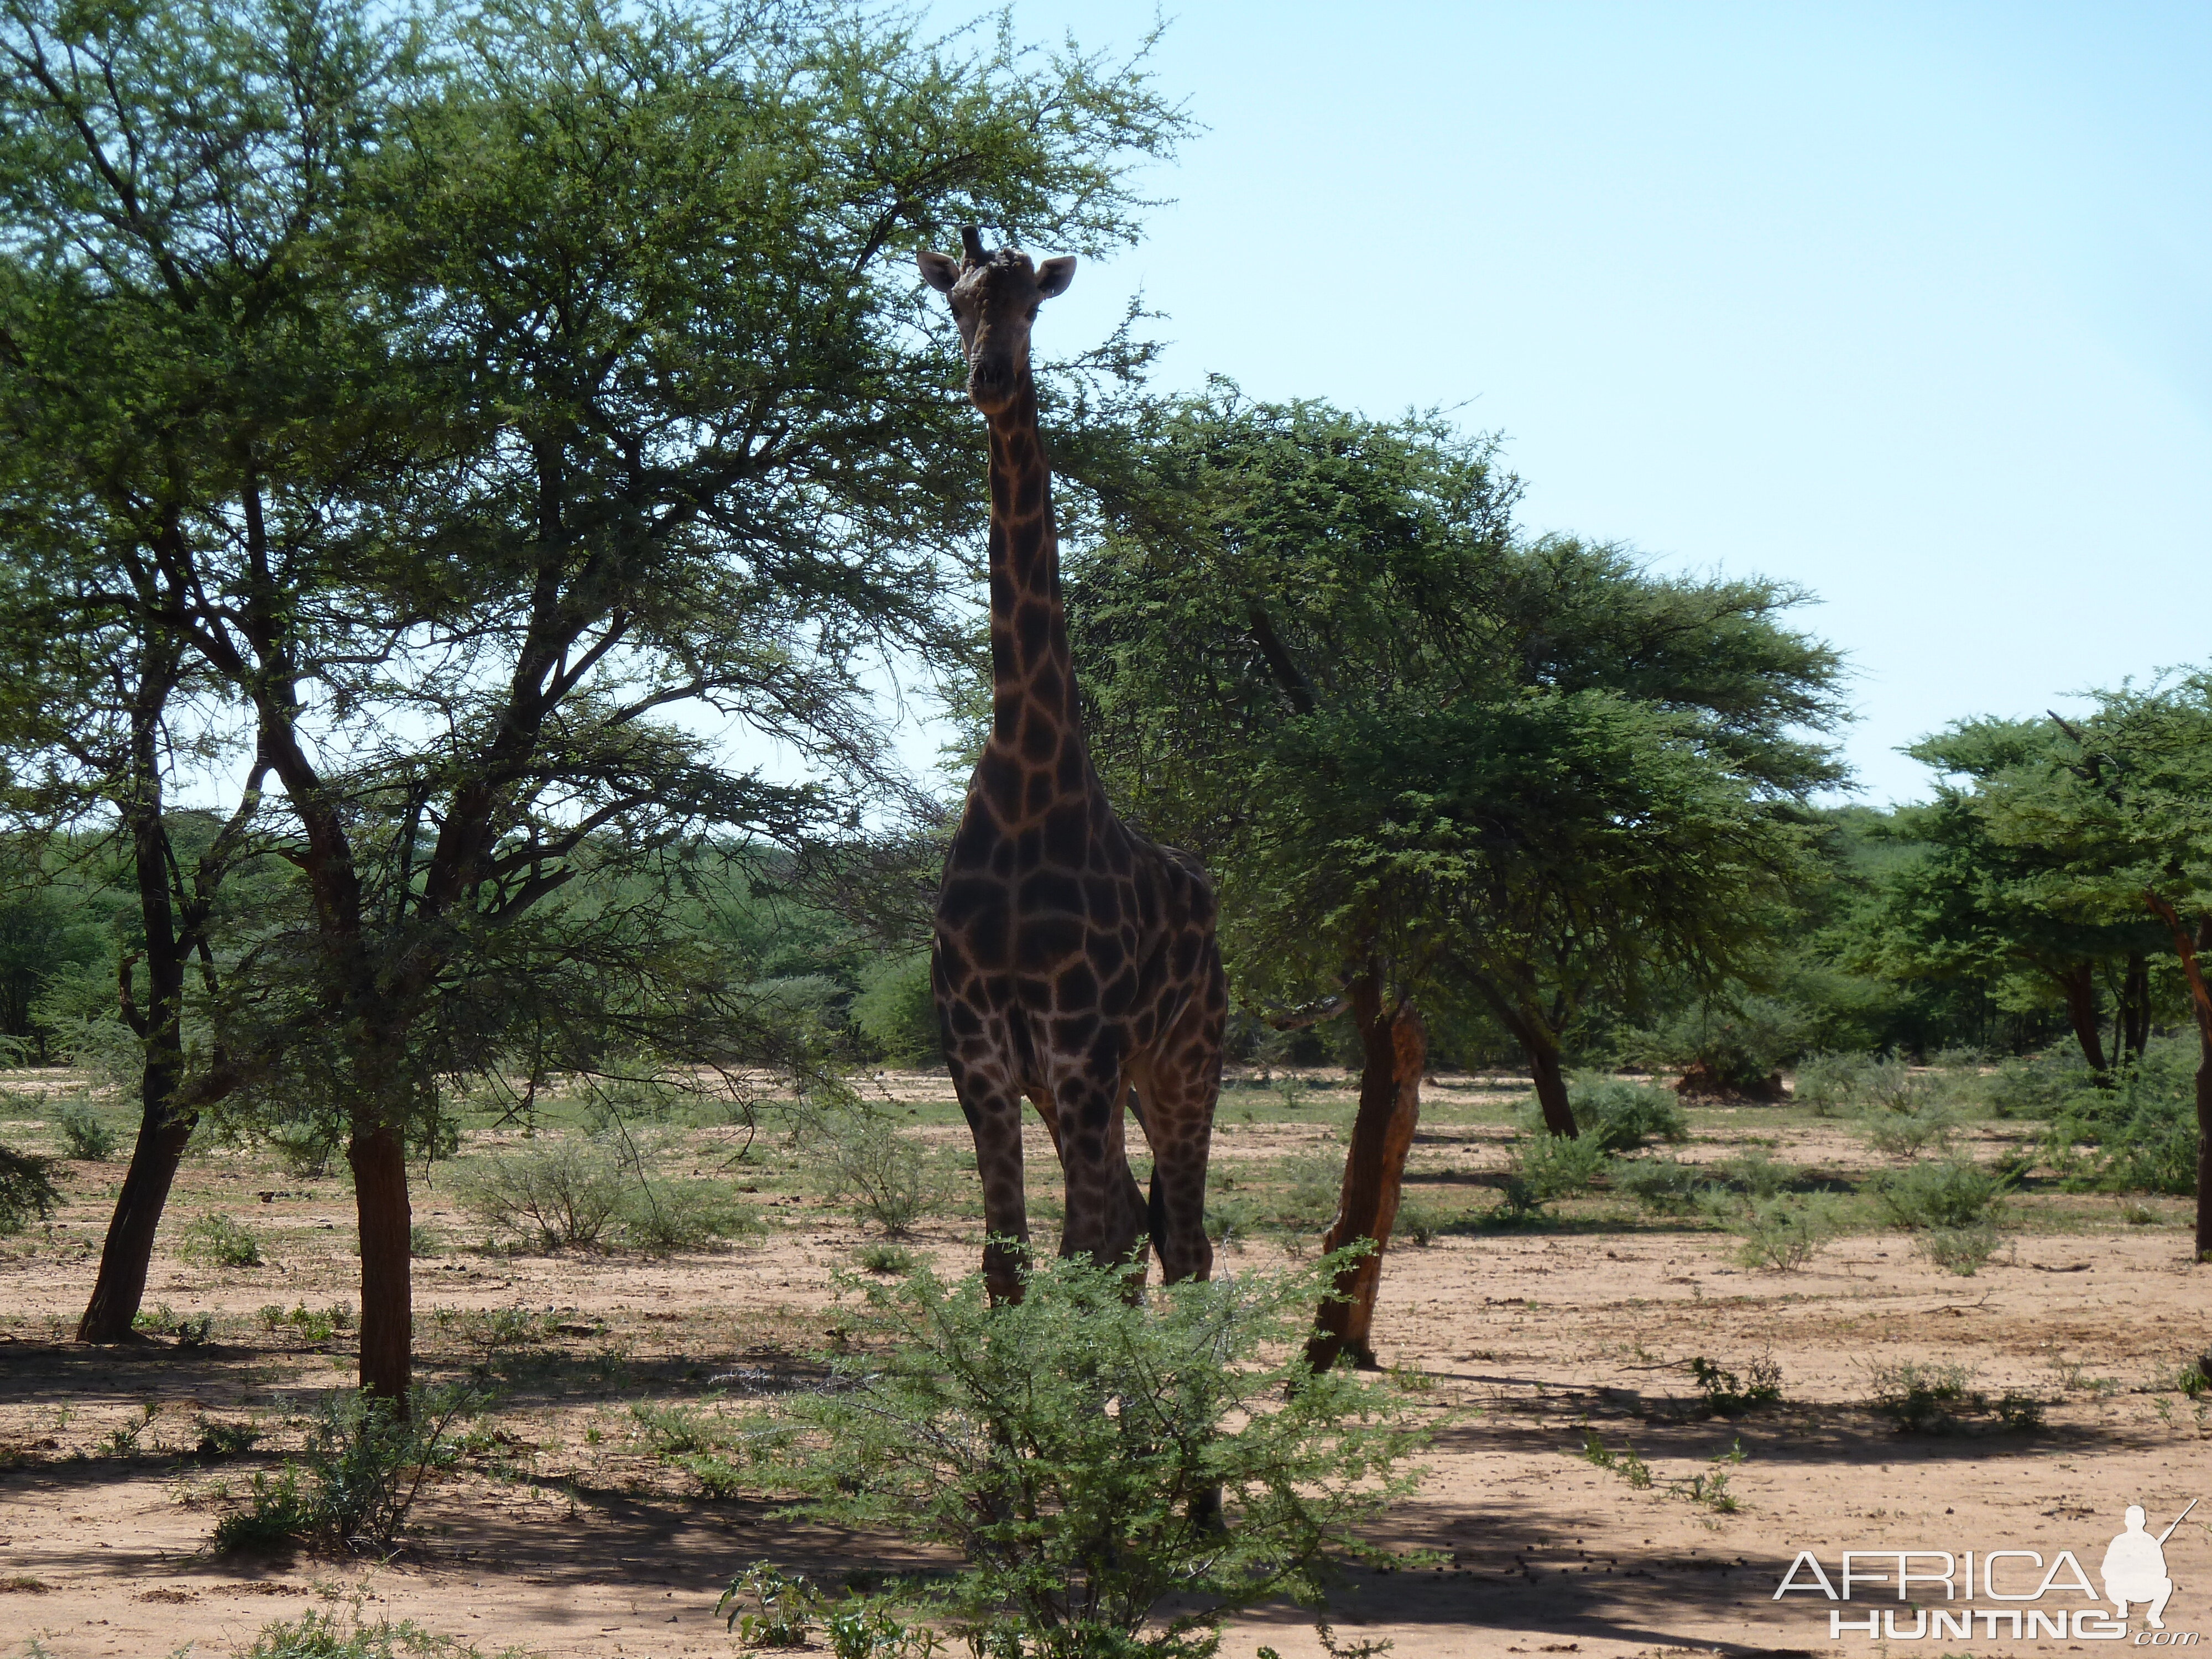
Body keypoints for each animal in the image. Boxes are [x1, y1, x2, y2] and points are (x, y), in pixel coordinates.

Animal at [916, 228, 1230, 1310]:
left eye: (1033, 305)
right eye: (956, 302)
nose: (990, 377)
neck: (1023, 779)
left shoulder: (1084, 1047)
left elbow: (1081, 1252)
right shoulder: (980, 1053)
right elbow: (1009, 1261)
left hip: (1185, 1058)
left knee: (1181, 1241)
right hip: (1083, 1083)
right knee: (1142, 1226)